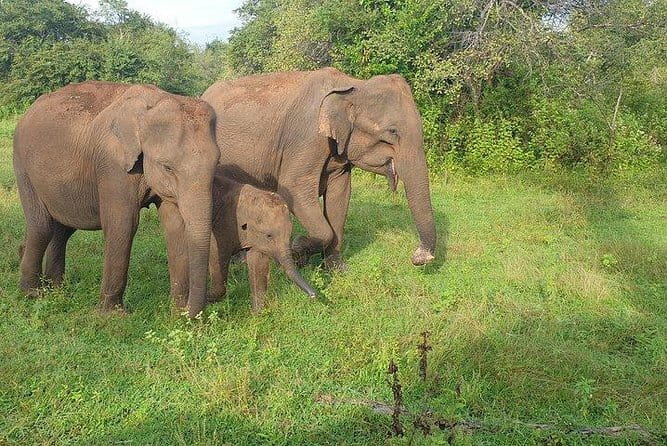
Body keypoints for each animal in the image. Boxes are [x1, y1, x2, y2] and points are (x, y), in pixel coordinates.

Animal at [13, 81, 220, 318]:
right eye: (168, 167)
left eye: (217, 163)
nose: (191, 313)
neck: (151, 105)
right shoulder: (112, 163)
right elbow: (124, 223)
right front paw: (113, 315)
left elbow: (174, 225)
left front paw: (176, 312)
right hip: (23, 167)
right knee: (42, 227)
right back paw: (32, 294)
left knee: (62, 229)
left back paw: (56, 289)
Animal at [201, 67, 436, 271]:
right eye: (392, 131)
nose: (418, 256)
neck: (353, 84)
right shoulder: (306, 140)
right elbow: (294, 189)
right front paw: (298, 251)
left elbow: (339, 197)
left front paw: (336, 269)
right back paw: (238, 261)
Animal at [207, 175, 316, 314]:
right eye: (269, 236)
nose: (314, 295)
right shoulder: (222, 225)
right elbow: (216, 255)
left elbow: (258, 262)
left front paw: (257, 314)